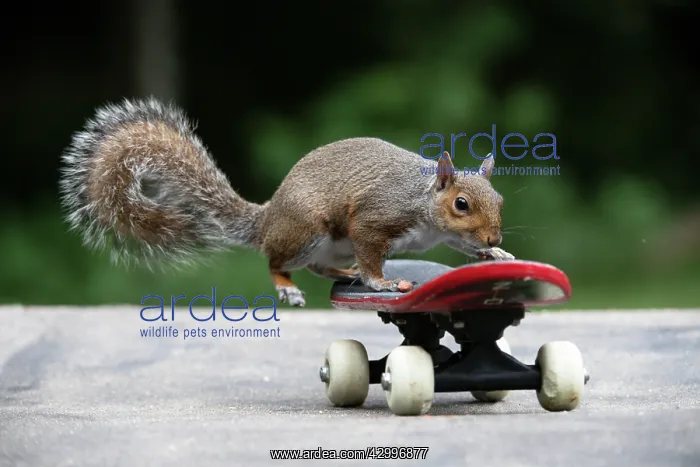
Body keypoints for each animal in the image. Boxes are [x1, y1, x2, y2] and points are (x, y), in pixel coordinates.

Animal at [59, 97, 515, 307]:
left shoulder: (447, 236)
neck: (424, 206)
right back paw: (288, 287)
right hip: (308, 231)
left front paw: (497, 253)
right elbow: (372, 255)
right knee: (276, 262)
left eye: (500, 200)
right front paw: (381, 281)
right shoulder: (376, 219)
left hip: (327, 244)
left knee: (317, 266)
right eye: (461, 204)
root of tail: (267, 219)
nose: (494, 235)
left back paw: (341, 271)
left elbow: (464, 246)